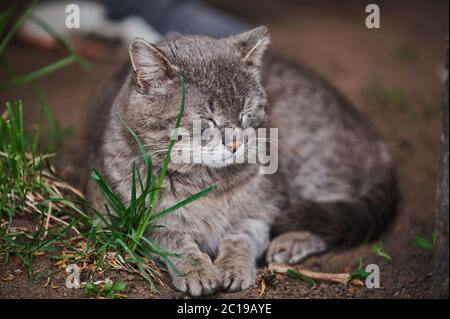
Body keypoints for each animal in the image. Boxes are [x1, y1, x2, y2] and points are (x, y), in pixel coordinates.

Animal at [84, 25, 394, 298]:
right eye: (207, 120)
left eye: (246, 113)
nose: (235, 143)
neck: (207, 184)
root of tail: (374, 138)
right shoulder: (123, 216)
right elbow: (173, 239)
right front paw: (198, 270)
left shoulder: (262, 211)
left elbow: (240, 237)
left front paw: (233, 266)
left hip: (312, 164)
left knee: (328, 210)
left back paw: (290, 240)